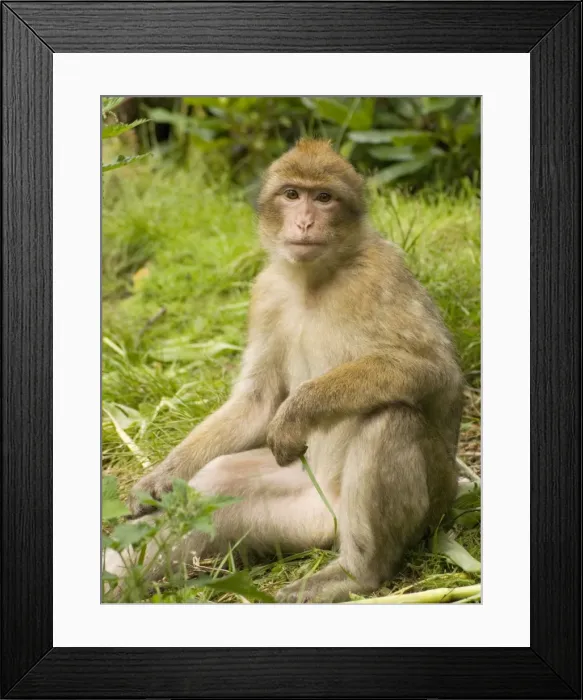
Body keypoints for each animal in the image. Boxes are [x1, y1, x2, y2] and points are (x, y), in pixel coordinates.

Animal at [105, 138, 464, 603]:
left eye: (324, 198)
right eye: (292, 194)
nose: (305, 221)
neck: (314, 280)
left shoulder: (382, 273)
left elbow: (435, 370)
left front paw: (298, 409)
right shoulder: (266, 292)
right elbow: (256, 402)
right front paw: (160, 478)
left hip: (415, 509)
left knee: (390, 417)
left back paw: (356, 573)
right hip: (299, 515)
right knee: (216, 482)